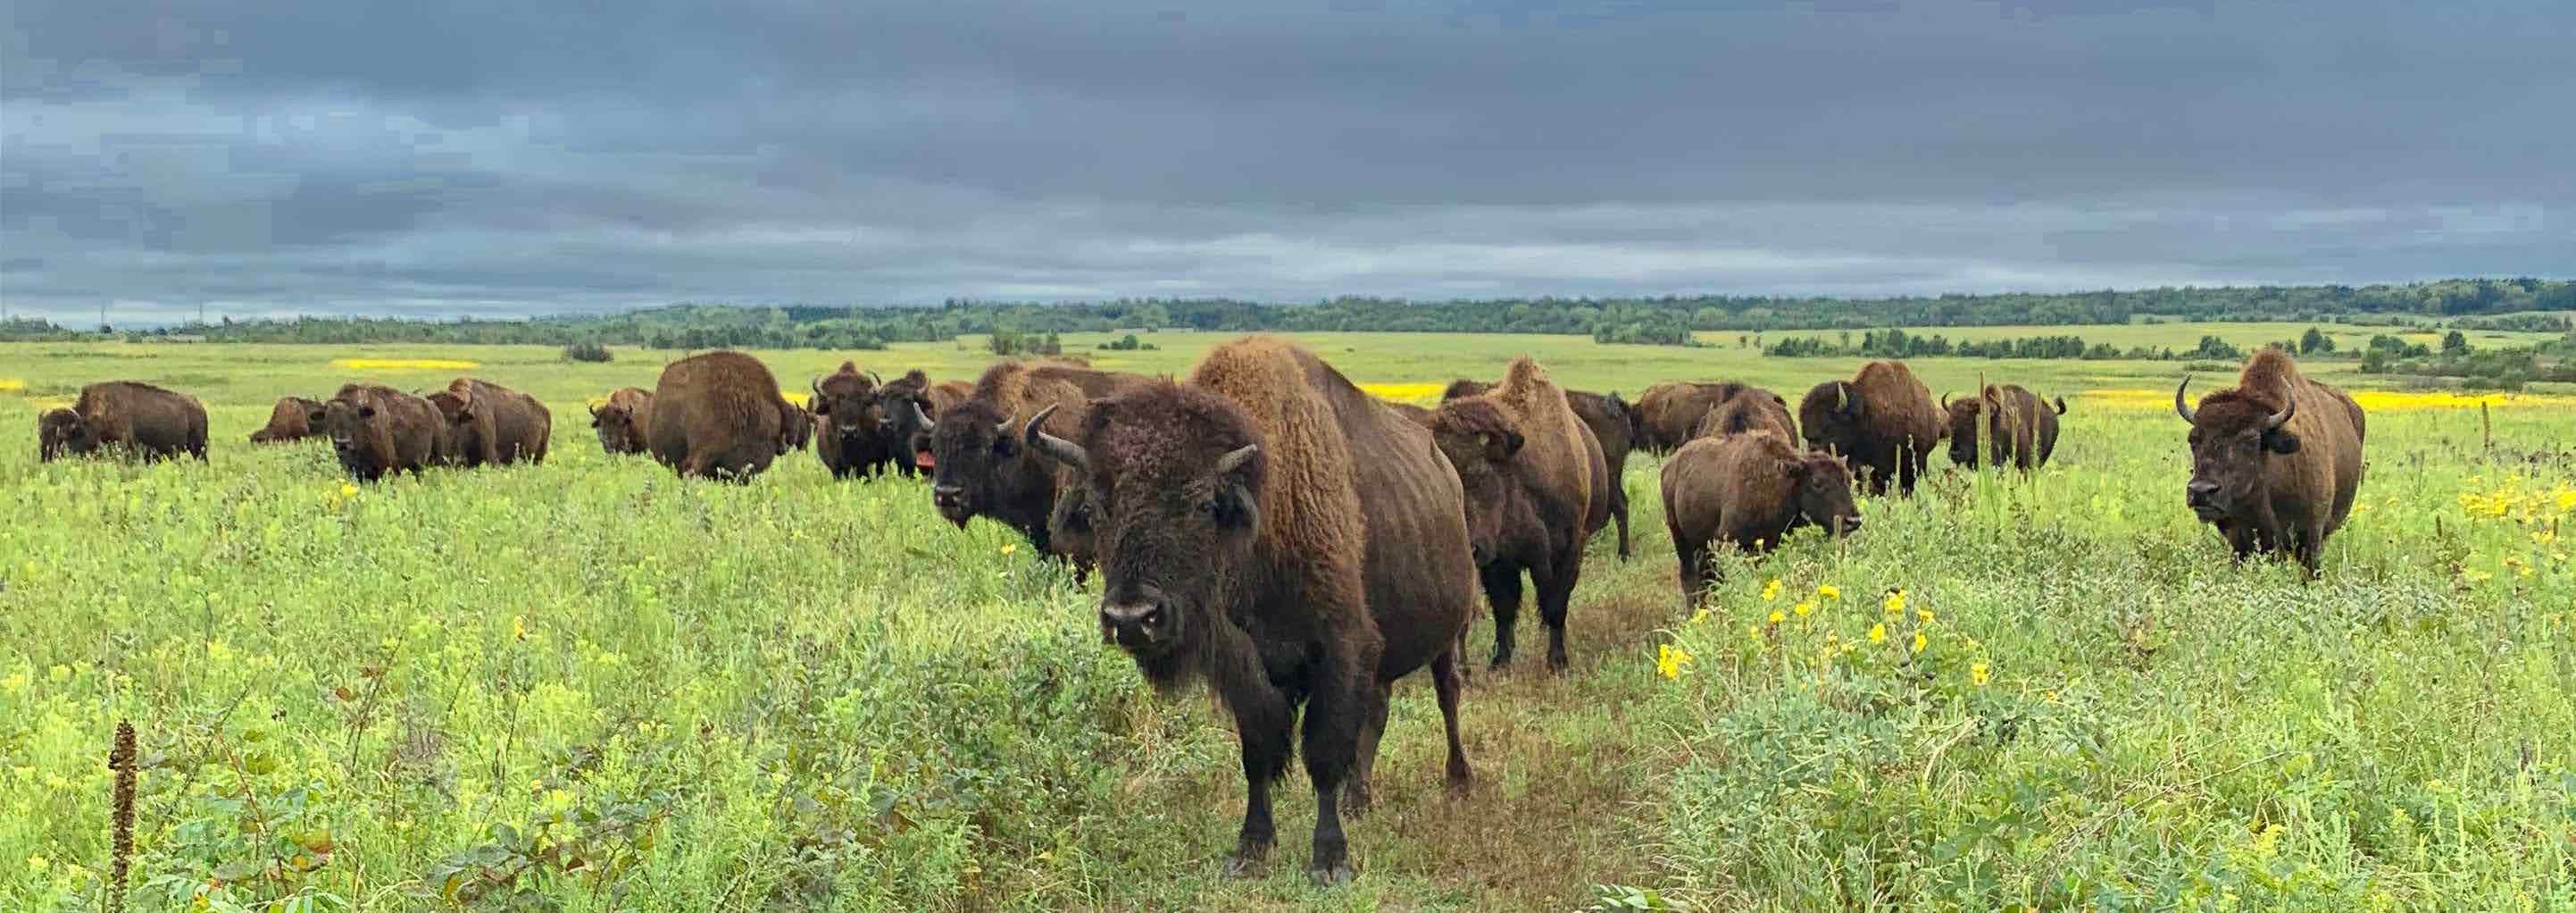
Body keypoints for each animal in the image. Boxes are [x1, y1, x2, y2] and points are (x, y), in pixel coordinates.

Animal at [1024, 336, 1477, 885]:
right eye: (1093, 508)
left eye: (1201, 505)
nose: (1133, 618)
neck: (1264, 513)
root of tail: (1448, 473)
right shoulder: (1243, 665)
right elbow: (1258, 753)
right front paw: (1250, 849)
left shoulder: (1343, 647)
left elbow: (1324, 750)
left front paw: (1329, 860)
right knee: (1378, 711)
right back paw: (1359, 799)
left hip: (1450, 632)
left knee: (1448, 696)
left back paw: (1459, 780)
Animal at [1429, 359, 1606, 671]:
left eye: (1480, 472)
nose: (1467, 548)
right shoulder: (1499, 562)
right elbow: (1505, 609)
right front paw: (1500, 661)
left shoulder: (1568, 549)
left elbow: (1556, 604)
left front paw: (1557, 662)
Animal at [1661, 430, 1863, 609]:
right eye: (1817, 482)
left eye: (1848, 479)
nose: (1853, 520)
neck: (1783, 483)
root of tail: (1669, 466)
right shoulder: (1727, 542)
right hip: (1681, 538)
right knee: (1690, 577)